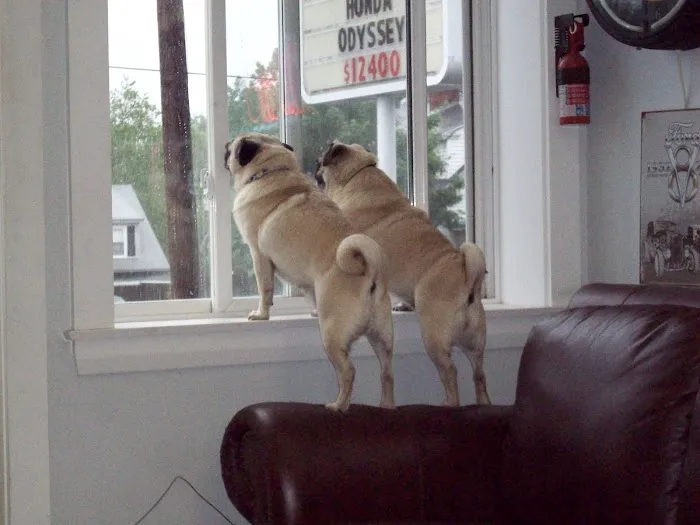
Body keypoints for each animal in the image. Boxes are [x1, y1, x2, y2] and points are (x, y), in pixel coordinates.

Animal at [224, 132, 395, 412]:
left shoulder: (258, 255)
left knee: (348, 372)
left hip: (332, 337)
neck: (270, 170)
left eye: (231, 149)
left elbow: (264, 288)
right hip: (382, 338)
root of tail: (369, 274)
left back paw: (339, 405)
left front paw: (261, 314)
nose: (225, 146)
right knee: (387, 372)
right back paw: (386, 406)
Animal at [314, 140, 491, 406]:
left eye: (321, 159)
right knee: (479, 375)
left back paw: (450, 403)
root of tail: (469, 283)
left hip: (434, 339)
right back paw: (483, 404)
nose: (313, 167)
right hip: (475, 346)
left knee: (450, 372)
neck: (358, 174)